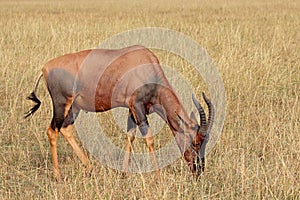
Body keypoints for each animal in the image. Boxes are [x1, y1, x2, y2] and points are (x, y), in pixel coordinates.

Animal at [25, 45, 213, 181]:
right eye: (195, 142)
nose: (198, 172)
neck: (146, 63)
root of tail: (45, 68)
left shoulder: (132, 109)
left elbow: (130, 136)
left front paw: (124, 173)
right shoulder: (138, 106)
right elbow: (149, 139)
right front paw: (158, 176)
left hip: (74, 107)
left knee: (65, 128)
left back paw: (90, 168)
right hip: (61, 103)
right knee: (52, 131)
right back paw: (58, 177)